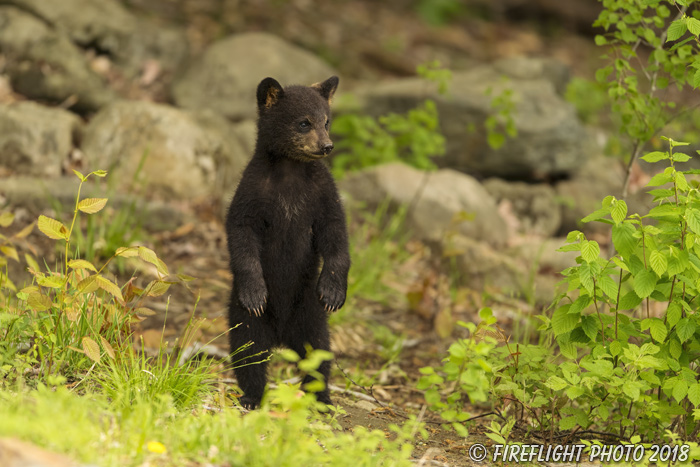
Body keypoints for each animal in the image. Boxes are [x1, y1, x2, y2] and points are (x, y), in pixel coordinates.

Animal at [227, 75, 352, 408]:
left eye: (326, 121)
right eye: (303, 123)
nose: (327, 146)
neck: (290, 171)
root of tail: (282, 337)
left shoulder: (323, 192)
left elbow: (335, 232)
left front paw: (334, 291)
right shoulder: (252, 192)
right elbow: (241, 235)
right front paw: (255, 292)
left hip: (310, 312)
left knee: (318, 353)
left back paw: (322, 397)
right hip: (244, 318)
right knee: (249, 352)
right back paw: (252, 396)